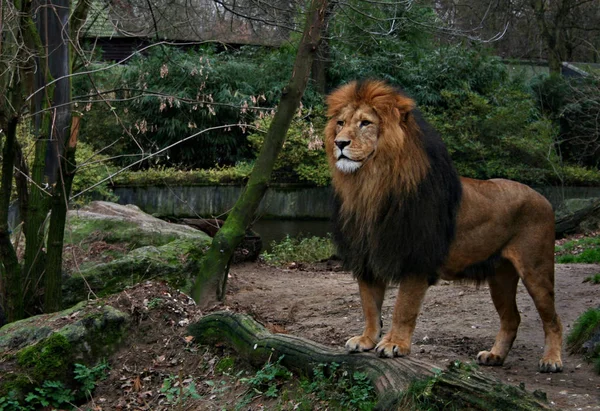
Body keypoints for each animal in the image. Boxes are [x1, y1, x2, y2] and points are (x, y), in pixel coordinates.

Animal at [324, 79, 564, 374]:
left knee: (553, 318)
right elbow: (369, 306)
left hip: (536, 269)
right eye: (340, 123)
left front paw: (394, 344)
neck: (369, 187)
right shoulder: (366, 259)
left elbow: (403, 307)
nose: (340, 143)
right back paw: (495, 356)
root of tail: (543, 197)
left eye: (365, 123)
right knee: (512, 318)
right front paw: (366, 339)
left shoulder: (416, 260)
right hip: (500, 275)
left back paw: (551, 360)